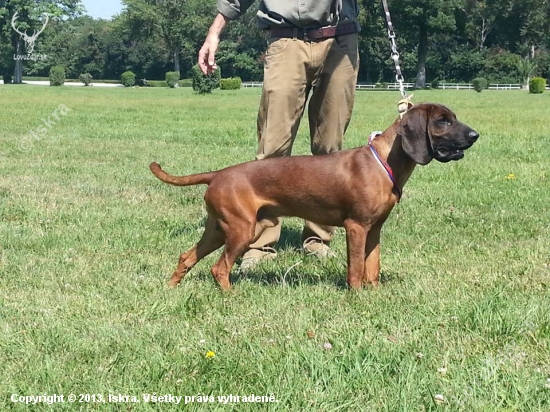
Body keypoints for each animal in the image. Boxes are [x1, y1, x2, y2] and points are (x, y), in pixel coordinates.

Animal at [150, 103, 478, 290]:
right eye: (443, 121)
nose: (475, 135)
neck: (384, 161)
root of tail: (218, 173)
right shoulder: (356, 227)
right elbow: (356, 268)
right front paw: (357, 297)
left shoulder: (374, 230)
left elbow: (373, 267)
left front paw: (374, 295)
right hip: (243, 230)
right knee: (219, 268)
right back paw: (230, 295)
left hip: (219, 229)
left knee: (187, 256)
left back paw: (170, 288)